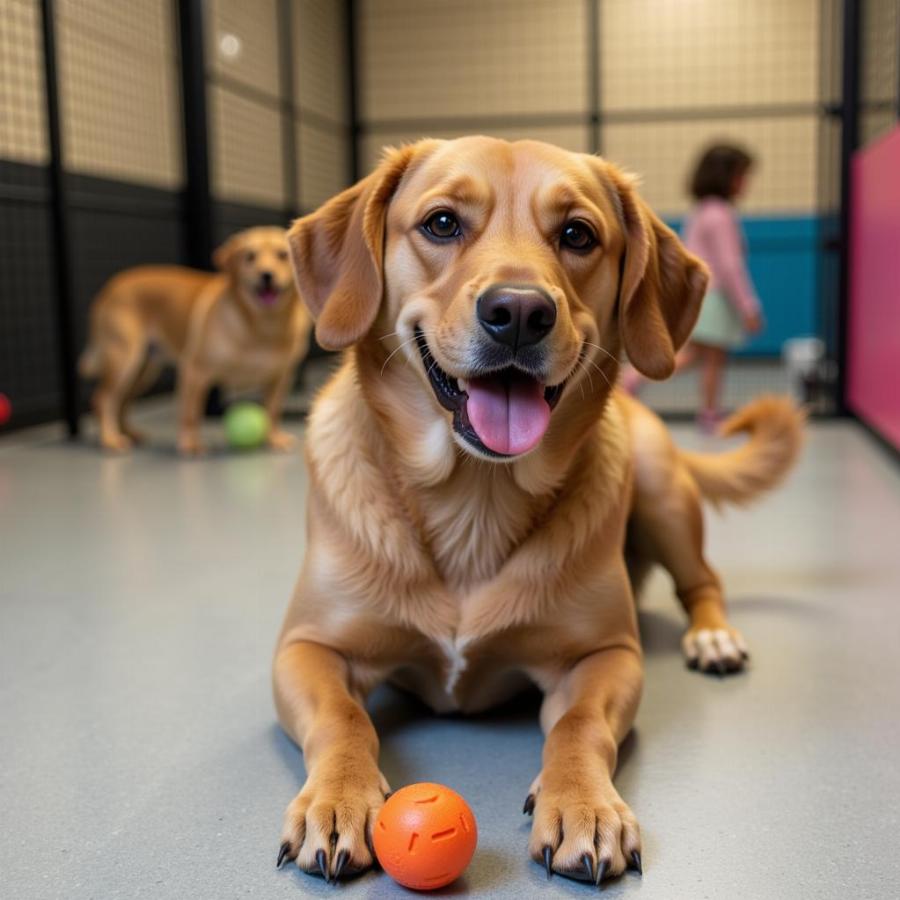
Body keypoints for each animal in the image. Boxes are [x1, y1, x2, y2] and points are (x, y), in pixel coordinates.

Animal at [81, 223, 312, 450]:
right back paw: (110, 439)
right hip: (124, 360)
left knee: (123, 402)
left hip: (144, 371)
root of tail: (112, 285)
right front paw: (190, 444)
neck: (264, 326)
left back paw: (129, 432)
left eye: (282, 255)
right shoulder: (194, 371)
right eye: (250, 257)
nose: (266, 275)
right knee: (103, 399)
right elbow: (191, 413)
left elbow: (272, 411)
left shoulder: (281, 377)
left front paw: (274, 438)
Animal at [272, 137, 800, 884]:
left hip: (661, 487)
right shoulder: (306, 648)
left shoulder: (606, 655)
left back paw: (713, 636)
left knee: (705, 583)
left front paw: (584, 804)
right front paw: (338, 795)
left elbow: (579, 727)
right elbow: (343, 719)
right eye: (441, 223)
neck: (475, 498)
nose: (519, 311)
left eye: (578, 235)